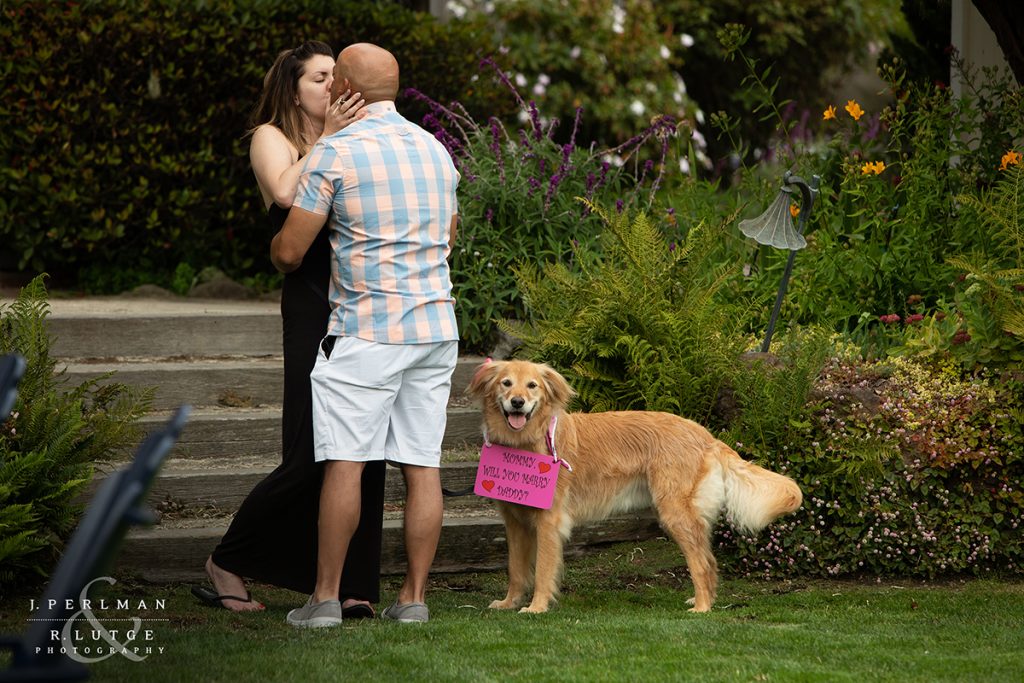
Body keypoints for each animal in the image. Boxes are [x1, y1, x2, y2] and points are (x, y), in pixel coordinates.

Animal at [468, 360, 802, 610]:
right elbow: (516, 569)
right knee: (708, 560)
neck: (528, 440)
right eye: (506, 383)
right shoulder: (515, 523)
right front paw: (509, 603)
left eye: (532, 385)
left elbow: (543, 572)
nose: (517, 403)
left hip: (675, 513)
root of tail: (706, 436)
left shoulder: (549, 521)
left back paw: (702, 608)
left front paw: (536, 607)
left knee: (701, 563)